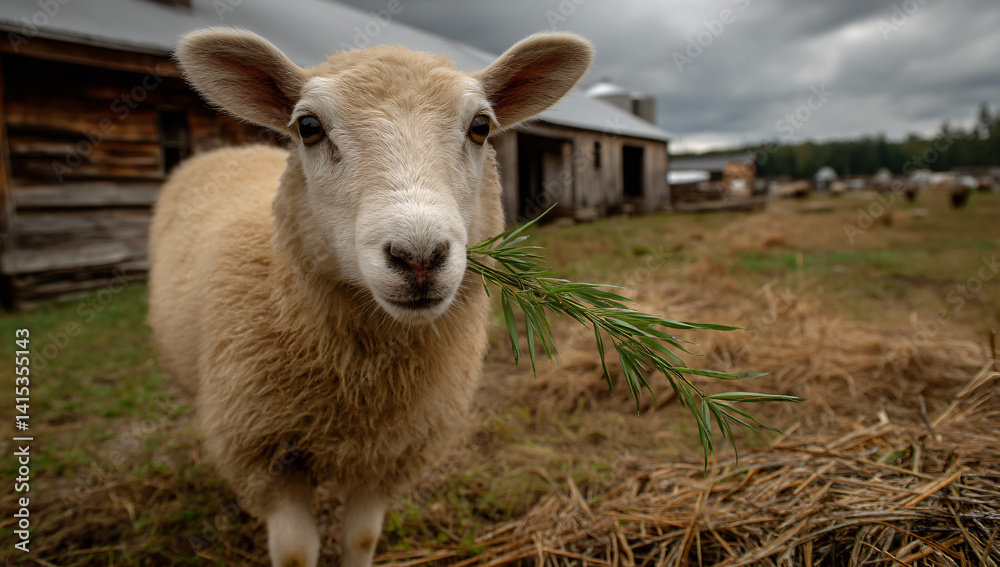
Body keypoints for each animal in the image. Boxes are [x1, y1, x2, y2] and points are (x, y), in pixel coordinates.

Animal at [148, 27, 593, 567]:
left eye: (481, 126)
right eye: (309, 127)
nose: (419, 257)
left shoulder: (388, 453)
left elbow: (361, 538)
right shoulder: (268, 455)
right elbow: (295, 552)